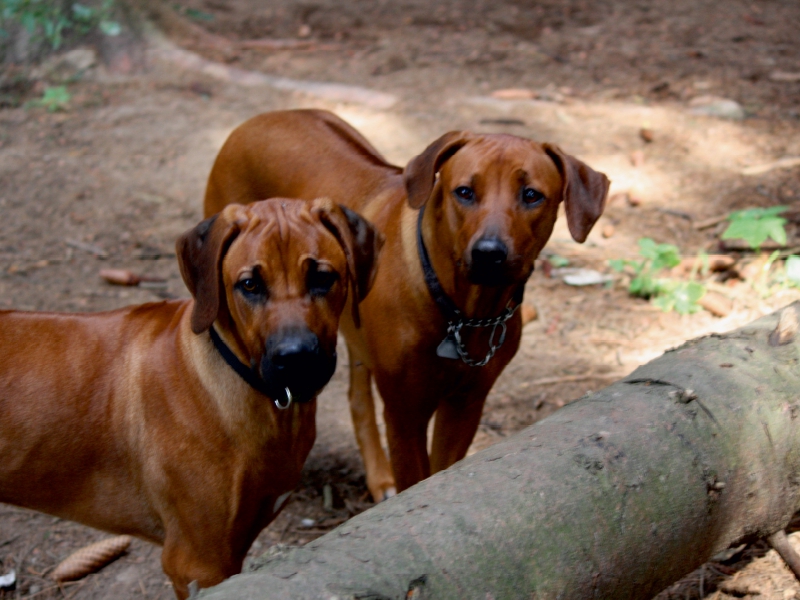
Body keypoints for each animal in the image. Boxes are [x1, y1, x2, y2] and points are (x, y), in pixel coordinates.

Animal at [203, 109, 608, 502]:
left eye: (531, 195)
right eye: (464, 192)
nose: (489, 253)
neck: (464, 313)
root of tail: (257, 120)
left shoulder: (466, 404)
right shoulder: (405, 413)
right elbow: (415, 477)